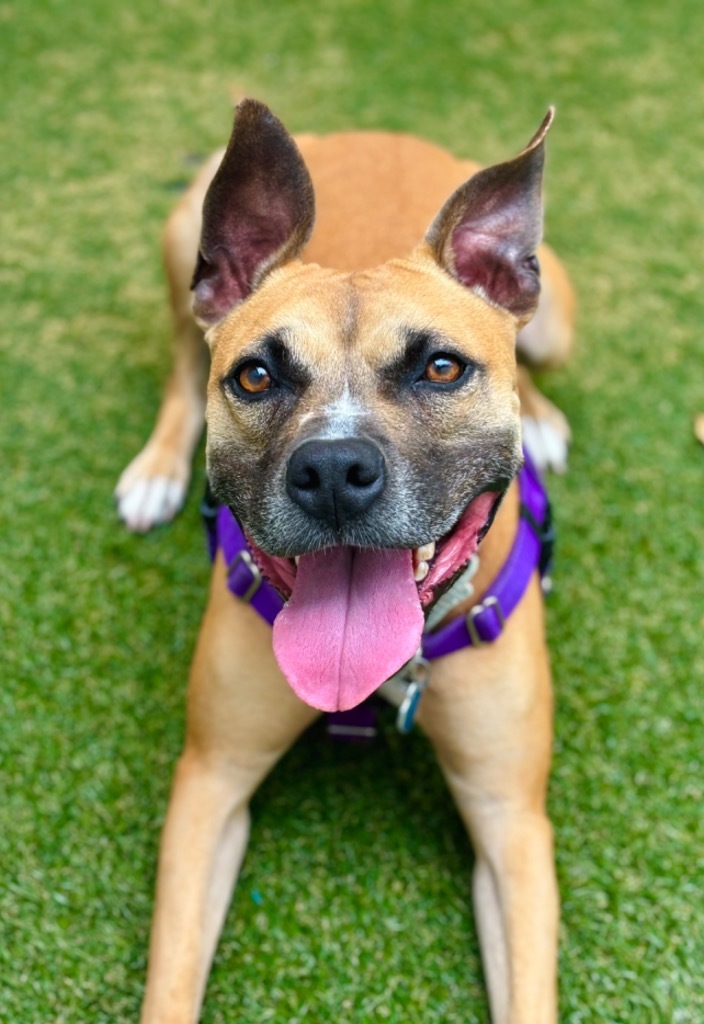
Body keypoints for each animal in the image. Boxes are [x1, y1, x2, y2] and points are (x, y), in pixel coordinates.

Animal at [125, 97, 577, 1024]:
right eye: (256, 377)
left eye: (441, 367)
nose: (332, 470)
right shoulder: (210, 783)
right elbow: (171, 979)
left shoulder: (512, 823)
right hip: (180, 232)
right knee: (182, 363)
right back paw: (154, 470)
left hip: (557, 309)